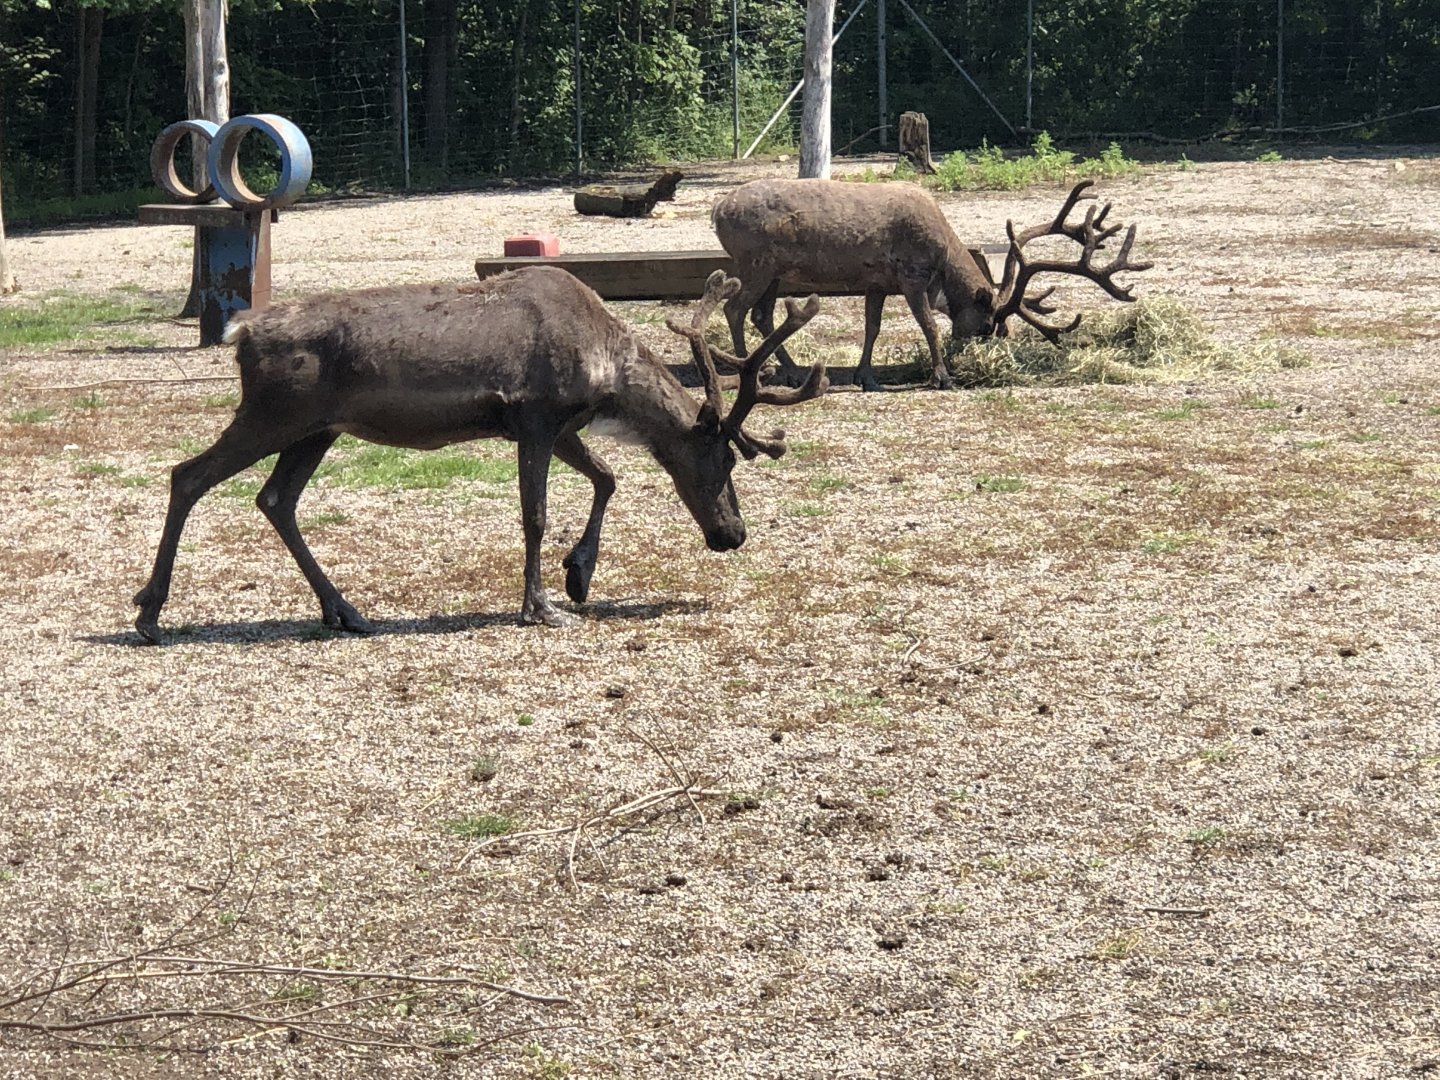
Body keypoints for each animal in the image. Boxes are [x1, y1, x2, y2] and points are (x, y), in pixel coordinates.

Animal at [132, 267, 828, 643]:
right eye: (726, 460)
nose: (733, 534)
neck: (607, 373)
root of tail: (241, 331)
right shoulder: (538, 417)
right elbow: (536, 515)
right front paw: (541, 606)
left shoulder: (555, 425)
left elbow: (606, 477)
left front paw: (579, 575)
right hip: (274, 414)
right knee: (188, 475)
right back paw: (148, 613)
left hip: (317, 430)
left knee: (276, 499)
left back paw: (345, 610)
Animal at [711, 179, 1151, 392]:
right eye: (988, 325)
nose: (968, 355)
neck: (941, 258)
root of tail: (717, 210)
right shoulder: (911, 274)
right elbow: (928, 325)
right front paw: (942, 376)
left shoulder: (877, 279)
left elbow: (873, 326)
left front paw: (866, 377)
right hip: (756, 262)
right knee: (735, 308)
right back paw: (750, 367)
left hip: (775, 272)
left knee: (761, 314)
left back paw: (792, 371)